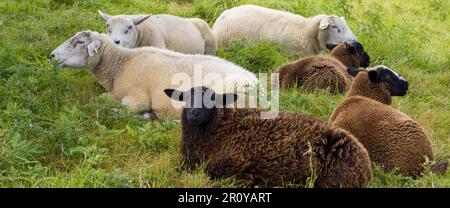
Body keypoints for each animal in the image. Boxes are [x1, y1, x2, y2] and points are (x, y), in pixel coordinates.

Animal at [49, 30, 256, 119]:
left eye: (79, 42)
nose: (51, 56)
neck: (120, 65)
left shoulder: (137, 99)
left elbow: (116, 109)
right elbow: (102, 99)